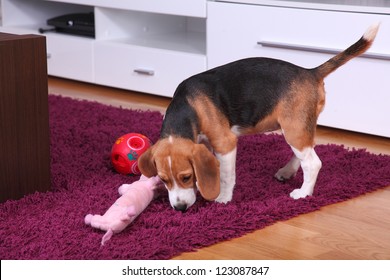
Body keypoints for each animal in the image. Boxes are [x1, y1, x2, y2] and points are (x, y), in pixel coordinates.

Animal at [138, 24, 378, 212]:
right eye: (163, 180)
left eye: (187, 177)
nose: (180, 208)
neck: (188, 105)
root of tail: (310, 72)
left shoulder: (225, 144)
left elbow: (226, 175)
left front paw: (223, 198)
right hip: (298, 127)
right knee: (306, 150)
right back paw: (288, 171)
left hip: (293, 128)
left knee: (313, 162)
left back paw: (303, 193)